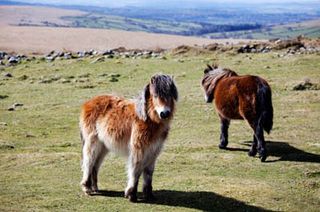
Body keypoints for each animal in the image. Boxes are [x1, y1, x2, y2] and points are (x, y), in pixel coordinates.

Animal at [79, 74, 178, 202]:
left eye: (170, 95)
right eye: (155, 95)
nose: (164, 113)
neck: (147, 120)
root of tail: (89, 102)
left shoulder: (153, 151)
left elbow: (148, 173)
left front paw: (149, 195)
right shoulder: (138, 149)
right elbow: (135, 169)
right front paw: (131, 194)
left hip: (103, 146)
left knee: (95, 164)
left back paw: (95, 188)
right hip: (93, 143)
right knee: (89, 162)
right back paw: (87, 188)